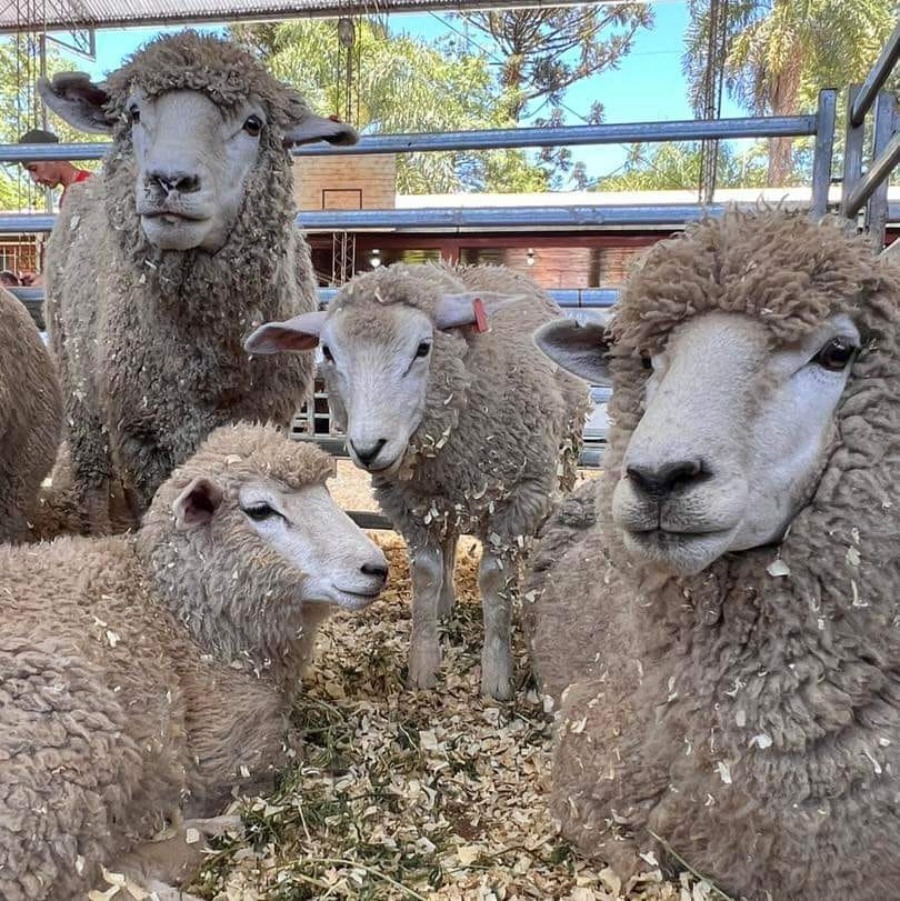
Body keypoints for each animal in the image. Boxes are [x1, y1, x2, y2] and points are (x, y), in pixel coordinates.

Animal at [0, 422, 388, 901]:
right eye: (261, 510)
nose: (376, 568)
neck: (174, 612)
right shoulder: (236, 750)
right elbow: (289, 757)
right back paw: (204, 834)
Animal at [37, 30, 357, 533]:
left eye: (253, 124)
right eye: (133, 113)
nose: (170, 180)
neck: (208, 362)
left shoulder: (264, 418)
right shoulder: (140, 434)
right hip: (79, 387)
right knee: (92, 478)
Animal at [244, 262, 591, 700]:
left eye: (423, 348)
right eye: (328, 352)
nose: (368, 447)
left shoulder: (521, 496)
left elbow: (495, 580)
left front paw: (497, 677)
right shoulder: (408, 503)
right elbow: (426, 574)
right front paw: (423, 665)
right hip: (442, 498)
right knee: (449, 542)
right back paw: (446, 604)